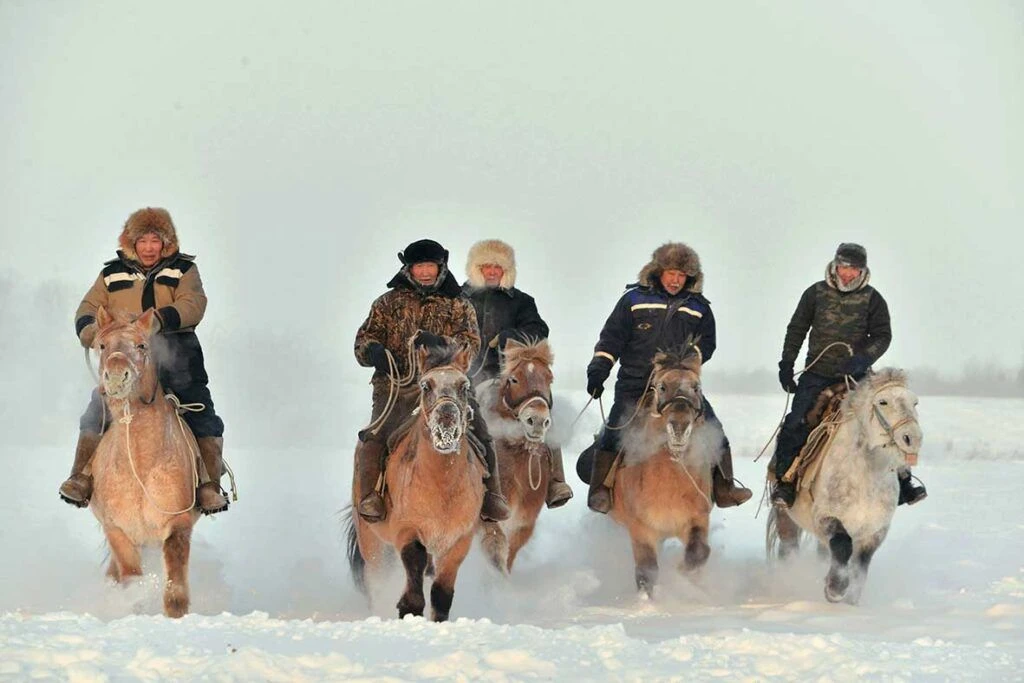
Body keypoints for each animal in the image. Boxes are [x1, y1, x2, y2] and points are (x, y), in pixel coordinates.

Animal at [88, 306, 202, 618]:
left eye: (141, 345)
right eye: (102, 345)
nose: (116, 377)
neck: (140, 462)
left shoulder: (178, 521)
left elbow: (175, 580)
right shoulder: (118, 531)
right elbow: (130, 577)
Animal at [346, 343, 484, 621]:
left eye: (464, 386)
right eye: (426, 386)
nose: (446, 419)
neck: (442, 486)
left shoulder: (459, 540)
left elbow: (442, 594)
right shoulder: (406, 530)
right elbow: (414, 567)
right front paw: (408, 611)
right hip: (372, 541)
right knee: (376, 579)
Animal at [474, 338, 555, 573]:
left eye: (550, 378)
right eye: (514, 379)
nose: (537, 421)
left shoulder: (523, 526)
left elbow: (508, 556)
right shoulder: (487, 520)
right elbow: (495, 549)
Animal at [607, 345, 721, 598]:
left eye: (696, 387)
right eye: (661, 387)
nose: (679, 427)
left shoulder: (697, 518)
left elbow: (698, 552)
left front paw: (683, 575)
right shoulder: (641, 528)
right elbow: (646, 570)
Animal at [766, 368, 923, 605]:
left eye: (914, 402)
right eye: (883, 401)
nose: (912, 438)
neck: (865, 475)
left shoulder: (875, 532)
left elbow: (860, 566)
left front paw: (851, 600)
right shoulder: (826, 518)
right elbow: (842, 545)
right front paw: (835, 589)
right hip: (786, 516)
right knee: (789, 548)